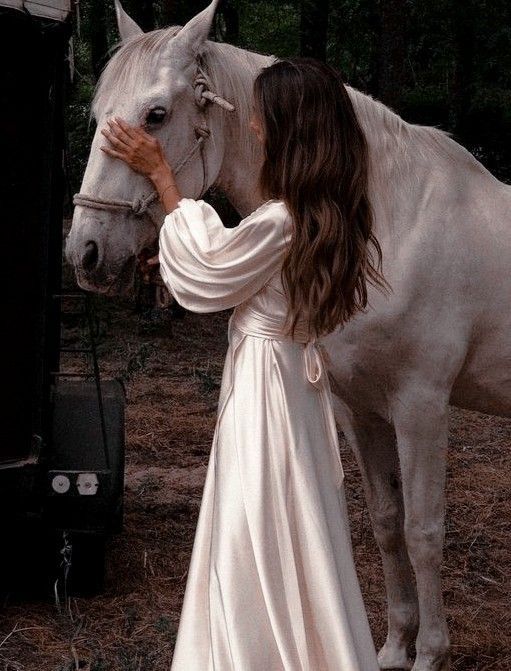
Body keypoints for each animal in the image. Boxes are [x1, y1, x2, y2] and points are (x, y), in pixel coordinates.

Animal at [65, 2, 511, 668]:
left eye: (156, 115)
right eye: (97, 117)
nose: (85, 253)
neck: (388, 218)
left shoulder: (421, 406)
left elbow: (423, 531)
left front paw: (430, 654)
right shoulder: (360, 406)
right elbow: (386, 522)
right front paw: (392, 648)